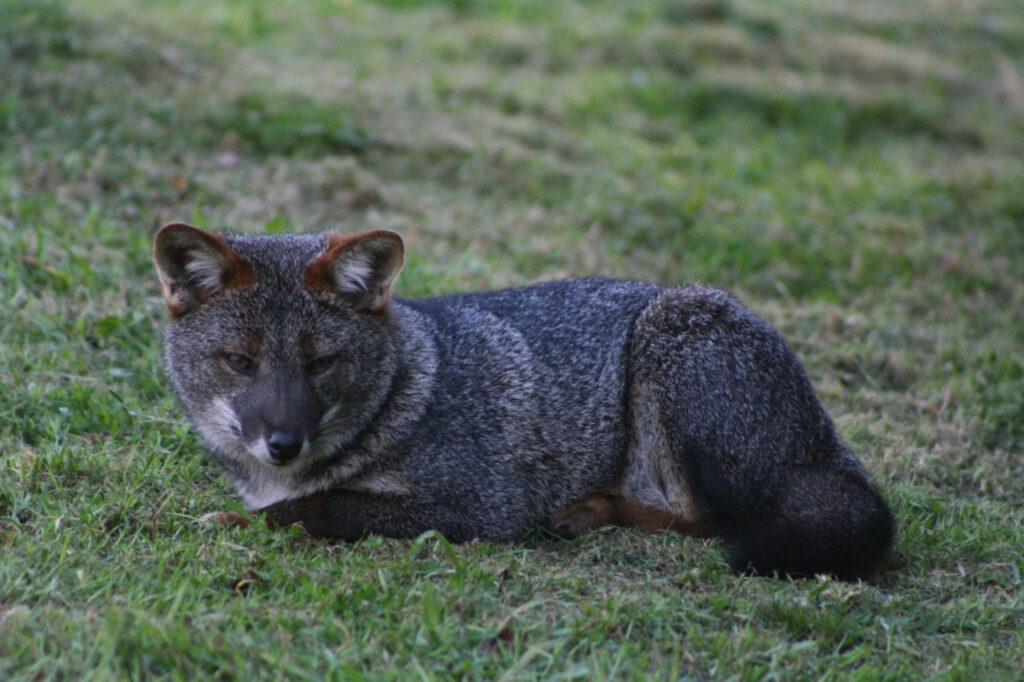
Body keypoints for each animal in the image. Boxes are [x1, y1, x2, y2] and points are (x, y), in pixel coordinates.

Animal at [153, 222, 894, 578]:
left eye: (321, 364)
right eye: (241, 362)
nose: (282, 444)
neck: (404, 393)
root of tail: (826, 441)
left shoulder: (480, 503)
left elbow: (315, 507)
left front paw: (234, 520)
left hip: (669, 340)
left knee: (705, 519)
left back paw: (589, 510)